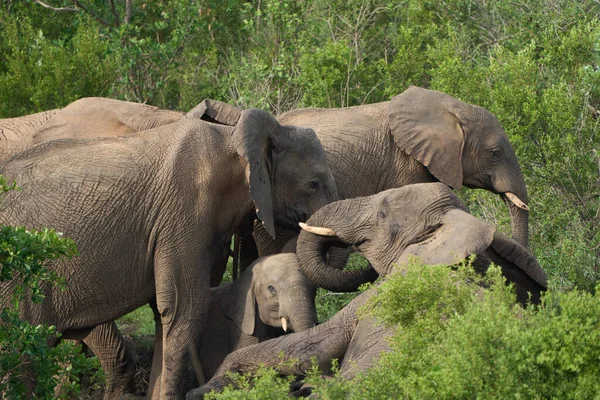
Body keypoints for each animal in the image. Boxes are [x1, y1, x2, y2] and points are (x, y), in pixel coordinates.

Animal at [0, 104, 338, 398]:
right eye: (313, 184)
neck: (232, 139)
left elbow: (165, 311)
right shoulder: (184, 209)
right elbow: (184, 308)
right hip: (18, 282)